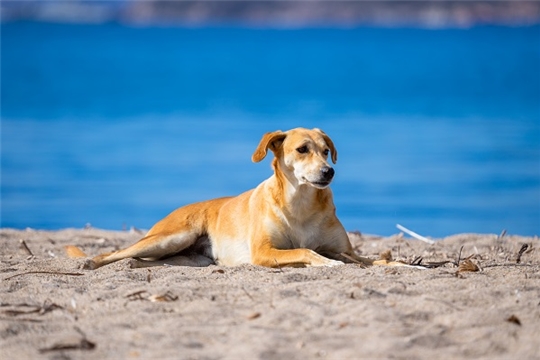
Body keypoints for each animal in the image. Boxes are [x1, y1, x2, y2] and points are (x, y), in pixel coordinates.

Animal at [69, 128, 396, 268]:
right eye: (302, 149)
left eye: (326, 151)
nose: (329, 171)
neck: (300, 205)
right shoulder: (264, 251)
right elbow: (304, 251)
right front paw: (326, 263)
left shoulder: (349, 252)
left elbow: (377, 261)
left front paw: (400, 264)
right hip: (172, 236)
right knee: (114, 253)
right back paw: (90, 263)